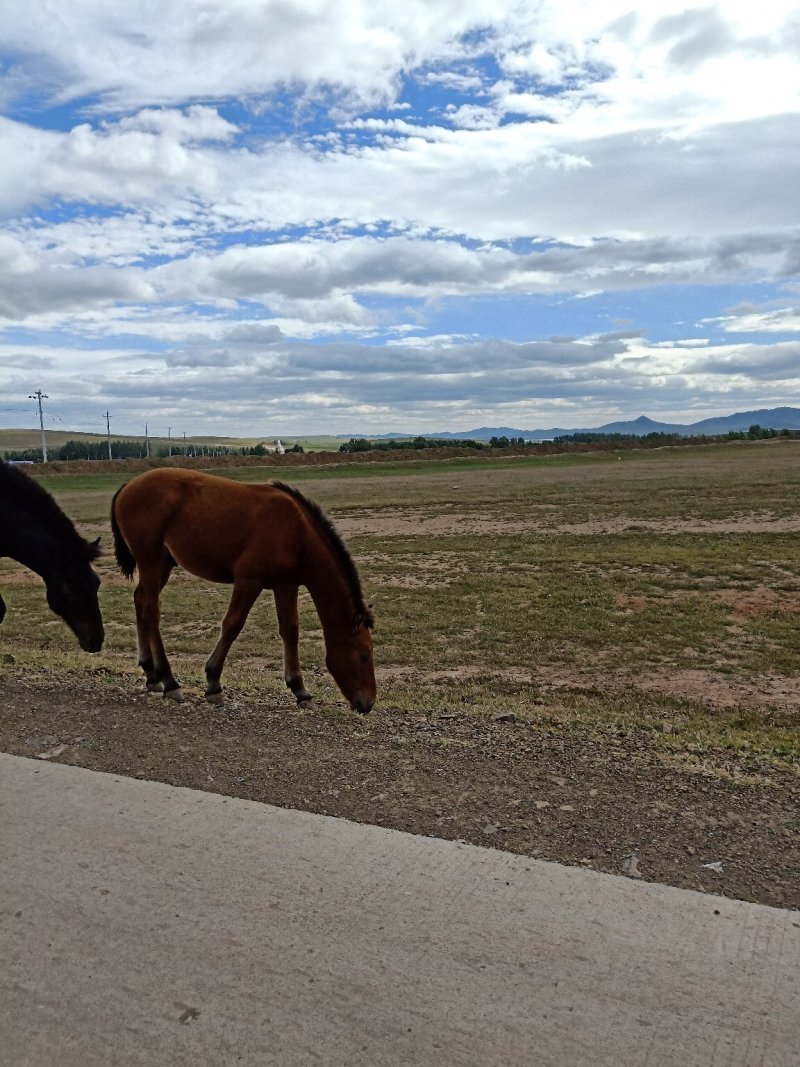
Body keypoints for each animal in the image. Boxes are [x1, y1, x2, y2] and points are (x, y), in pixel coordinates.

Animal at [110, 468, 376, 713]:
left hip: (163, 566)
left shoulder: (285, 586)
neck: (295, 532)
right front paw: (213, 683)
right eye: (364, 654)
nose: (368, 703)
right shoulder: (248, 582)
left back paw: (151, 674)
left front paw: (300, 690)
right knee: (151, 613)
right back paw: (169, 680)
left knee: (140, 601)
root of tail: (129, 485)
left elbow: (290, 631)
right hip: (152, 563)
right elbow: (232, 625)